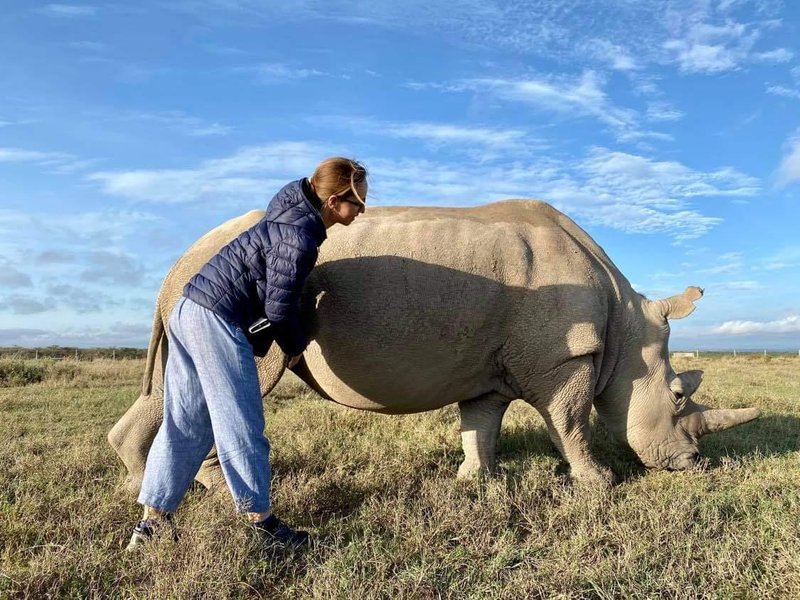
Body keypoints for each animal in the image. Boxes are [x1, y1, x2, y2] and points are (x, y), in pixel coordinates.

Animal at [108, 199, 764, 490]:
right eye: (677, 395)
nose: (693, 465)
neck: (627, 329)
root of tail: (178, 261)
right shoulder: (564, 358)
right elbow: (571, 420)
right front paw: (597, 485)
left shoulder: (491, 363)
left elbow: (481, 422)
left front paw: (476, 481)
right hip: (230, 299)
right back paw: (198, 489)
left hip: (196, 288)